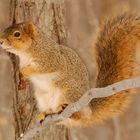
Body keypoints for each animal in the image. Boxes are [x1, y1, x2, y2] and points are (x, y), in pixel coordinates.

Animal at [0, 13, 139, 127]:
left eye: (17, 34)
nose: (0, 41)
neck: (26, 53)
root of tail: (88, 110)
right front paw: (22, 76)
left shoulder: (51, 59)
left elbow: (43, 68)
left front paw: (24, 72)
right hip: (42, 99)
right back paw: (45, 113)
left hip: (67, 91)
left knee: (77, 116)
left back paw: (63, 108)